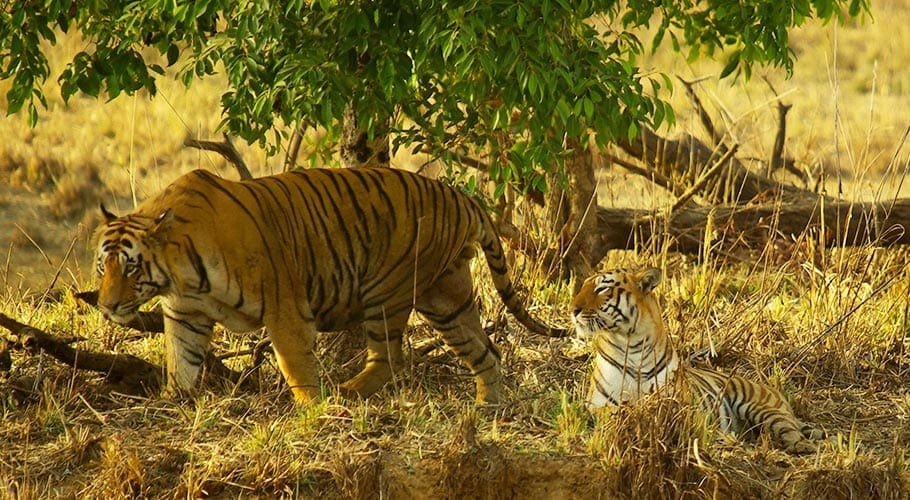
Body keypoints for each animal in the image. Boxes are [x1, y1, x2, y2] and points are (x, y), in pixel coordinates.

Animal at [94, 168, 564, 406]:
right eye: (103, 266)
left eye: (131, 268)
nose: (106, 305)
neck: (178, 271)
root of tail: (463, 197)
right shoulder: (185, 312)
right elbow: (182, 360)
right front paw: (172, 399)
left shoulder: (284, 305)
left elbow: (295, 364)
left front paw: (312, 410)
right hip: (445, 296)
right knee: (486, 351)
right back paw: (489, 408)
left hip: (387, 291)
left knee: (391, 358)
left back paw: (345, 393)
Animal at [576, 268, 828, 456]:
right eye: (581, 288)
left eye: (602, 288)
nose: (573, 309)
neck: (631, 344)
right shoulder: (598, 404)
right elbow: (615, 413)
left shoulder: (680, 404)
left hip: (762, 407)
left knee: (789, 430)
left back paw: (801, 446)